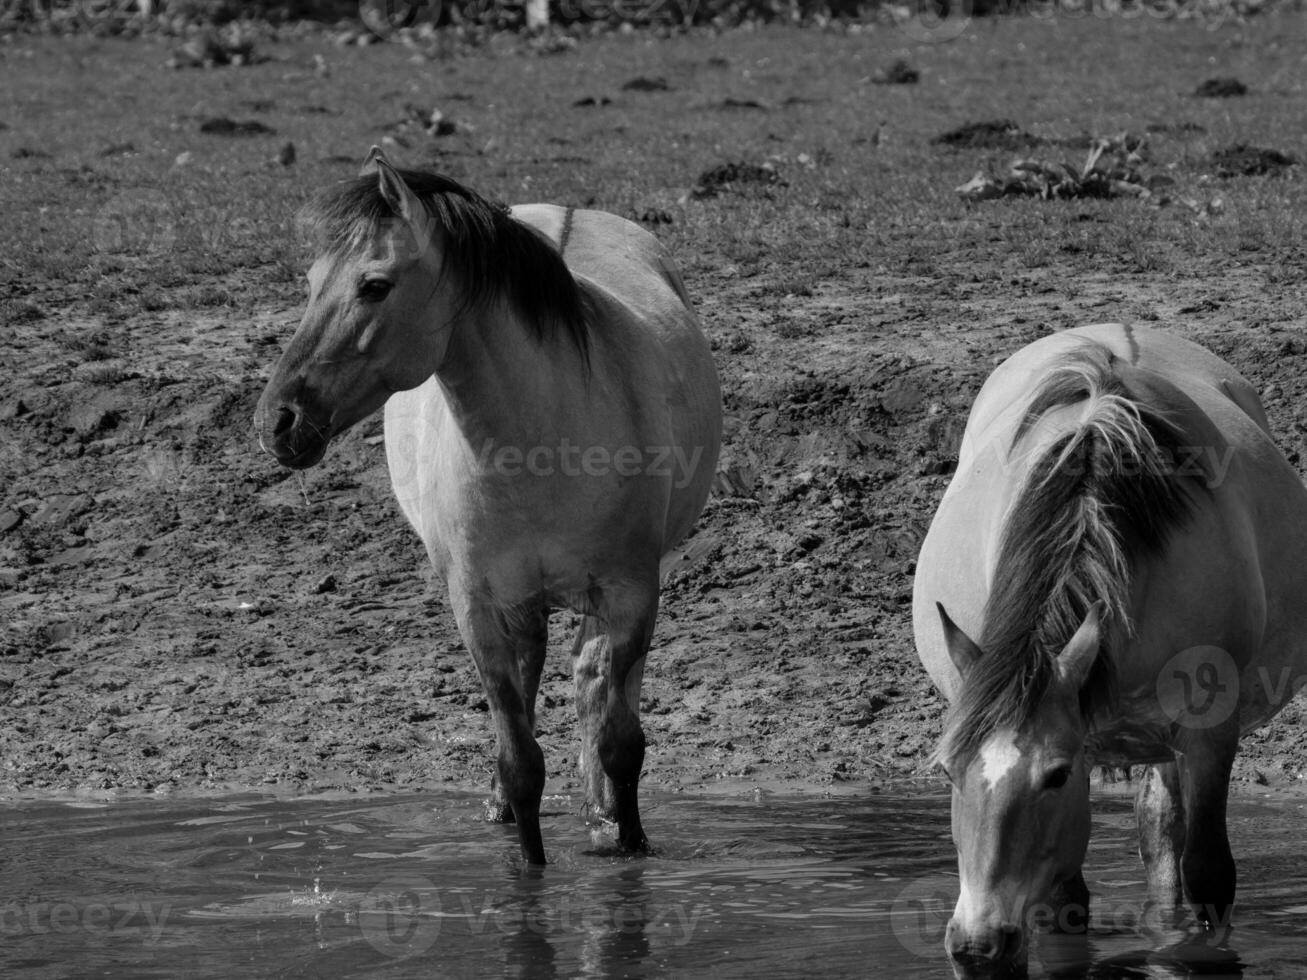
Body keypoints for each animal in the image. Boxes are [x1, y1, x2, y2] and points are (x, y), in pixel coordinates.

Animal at [252, 147, 726, 867]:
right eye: (309, 283)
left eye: (375, 285)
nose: (277, 421)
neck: (544, 438)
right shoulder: (477, 607)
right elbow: (520, 759)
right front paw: (527, 865)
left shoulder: (631, 593)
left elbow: (620, 741)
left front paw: (628, 843)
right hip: (521, 605)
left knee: (596, 690)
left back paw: (600, 811)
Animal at [909, 326, 1307, 977]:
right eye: (946, 770)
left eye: (1055, 775)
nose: (976, 947)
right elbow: (1063, 906)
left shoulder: (1207, 731)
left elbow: (1208, 876)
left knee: (1166, 837)